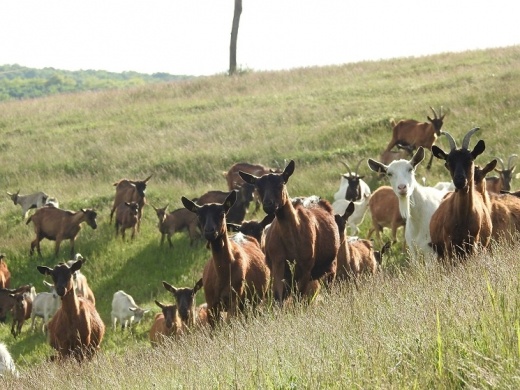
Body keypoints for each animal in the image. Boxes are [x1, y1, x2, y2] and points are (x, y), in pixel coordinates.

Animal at [182, 190, 270, 328]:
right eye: (199, 215)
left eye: (222, 213)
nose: (209, 231)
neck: (222, 274)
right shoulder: (211, 306)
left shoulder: (235, 301)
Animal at [240, 160, 342, 304]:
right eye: (258, 187)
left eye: (281, 184)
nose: (268, 205)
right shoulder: (278, 264)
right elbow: (278, 297)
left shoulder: (306, 267)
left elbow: (299, 297)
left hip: (330, 266)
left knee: (327, 288)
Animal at [426, 129, 492, 262]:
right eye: (448, 162)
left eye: (470, 160)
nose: (460, 181)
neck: (462, 218)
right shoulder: (449, 245)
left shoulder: (472, 244)